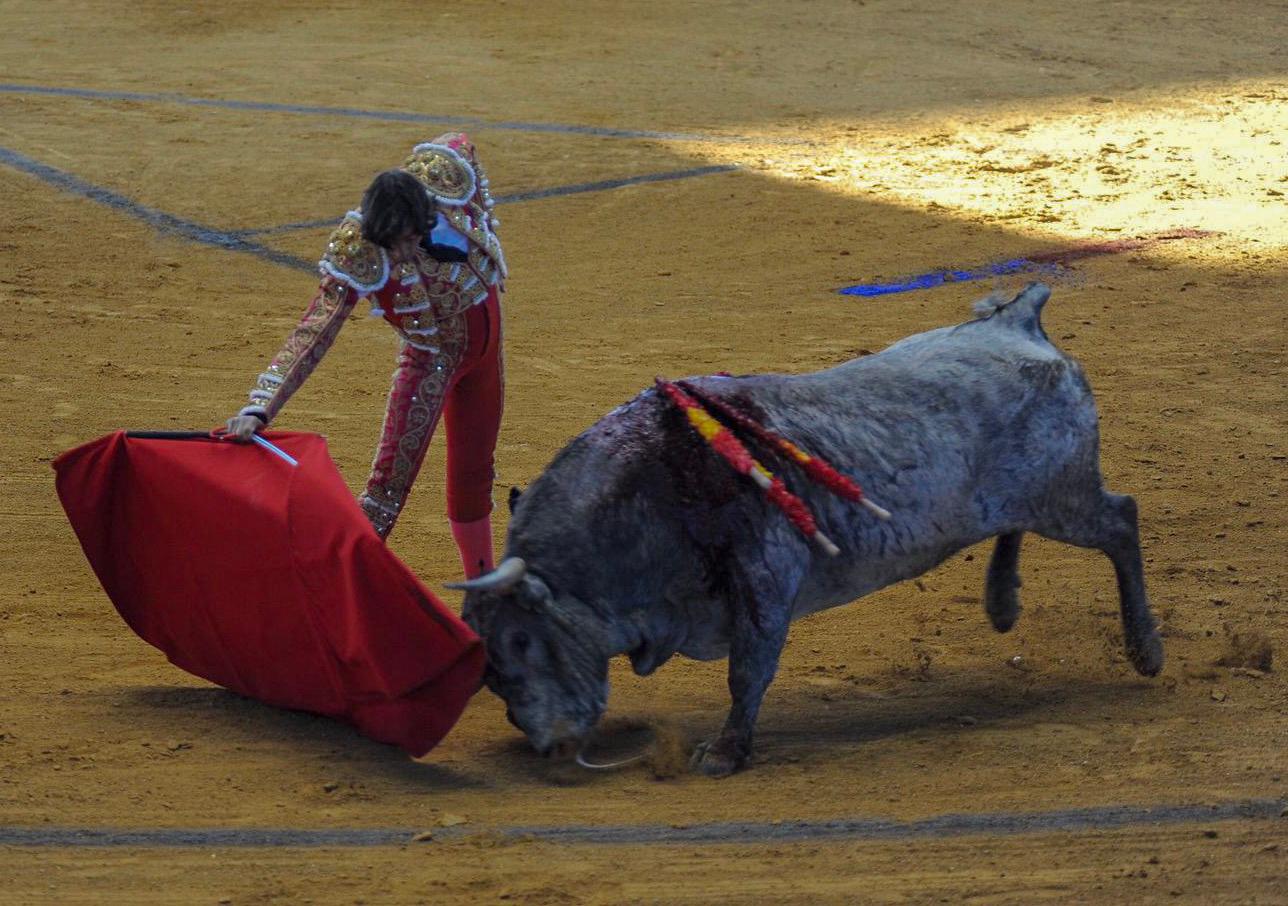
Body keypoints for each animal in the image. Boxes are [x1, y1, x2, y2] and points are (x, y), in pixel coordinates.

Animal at [452, 283, 1163, 777]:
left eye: (522, 641)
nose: (547, 747)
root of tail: (1017, 320)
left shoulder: (765, 576)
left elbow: (748, 669)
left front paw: (725, 754)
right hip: (1030, 499)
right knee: (1015, 527)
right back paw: (1002, 602)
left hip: (1064, 498)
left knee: (1121, 519)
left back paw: (1145, 651)